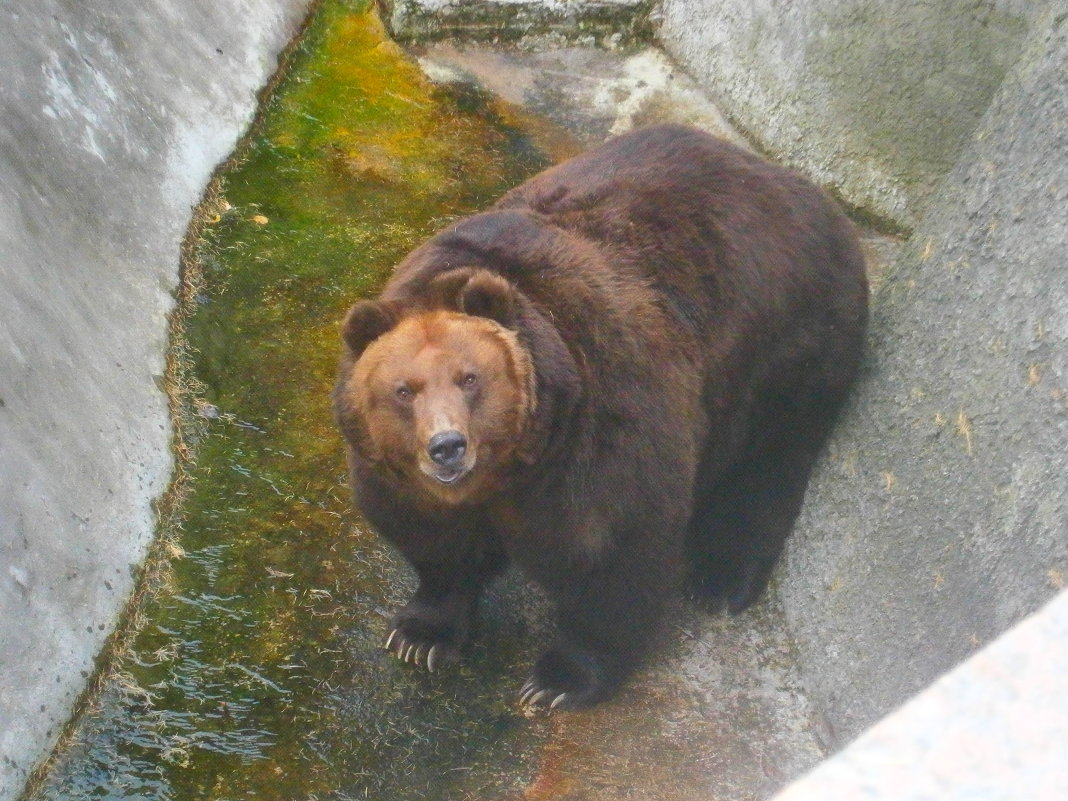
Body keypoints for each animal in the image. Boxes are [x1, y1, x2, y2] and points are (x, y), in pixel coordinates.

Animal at [333, 123, 867, 709]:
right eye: (404, 390)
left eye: (470, 378)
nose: (447, 446)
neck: (512, 469)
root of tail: (794, 183)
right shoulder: (400, 476)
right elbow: (434, 543)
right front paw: (420, 635)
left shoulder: (599, 425)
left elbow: (610, 551)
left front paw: (557, 681)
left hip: (790, 348)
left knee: (769, 463)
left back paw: (719, 578)